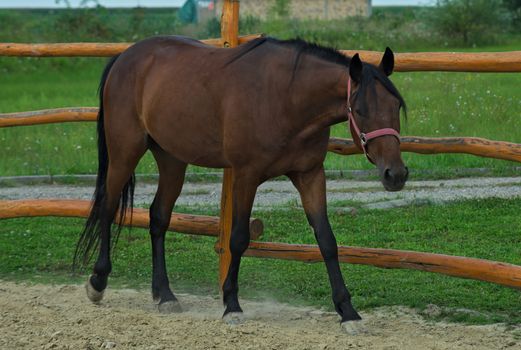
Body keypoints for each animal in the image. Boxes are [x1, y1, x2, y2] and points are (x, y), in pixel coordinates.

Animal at [74, 36, 406, 334]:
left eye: (396, 107)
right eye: (360, 110)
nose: (396, 175)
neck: (286, 98)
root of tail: (125, 56)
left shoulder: (310, 175)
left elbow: (327, 241)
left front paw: (348, 312)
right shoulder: (246, 175)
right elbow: (238, 238)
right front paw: (231, 305)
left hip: (172, 159)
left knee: (158, 217)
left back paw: (164, 296)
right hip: (125, 152)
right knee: (108, 207)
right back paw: (98, 282)